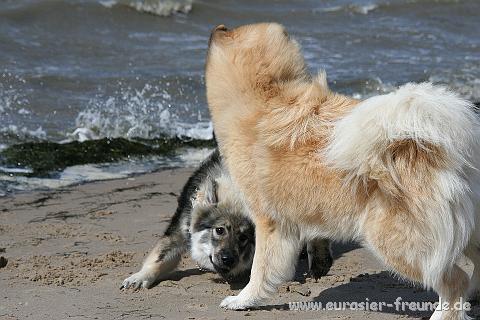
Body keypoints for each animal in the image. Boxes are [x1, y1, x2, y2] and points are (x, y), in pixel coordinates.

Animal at [120, 149, 332, 288]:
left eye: (244, 237)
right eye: (219, 230)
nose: (228, 260)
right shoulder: (180, 230)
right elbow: (159, 258)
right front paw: (139, 278)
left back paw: (319, 260)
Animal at [205, 23, 480, 320]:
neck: (267, 93)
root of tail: (432, 150)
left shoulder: (269, 223)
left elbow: (260, 269)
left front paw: (243, 300)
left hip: (399, 245)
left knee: (454, 281)